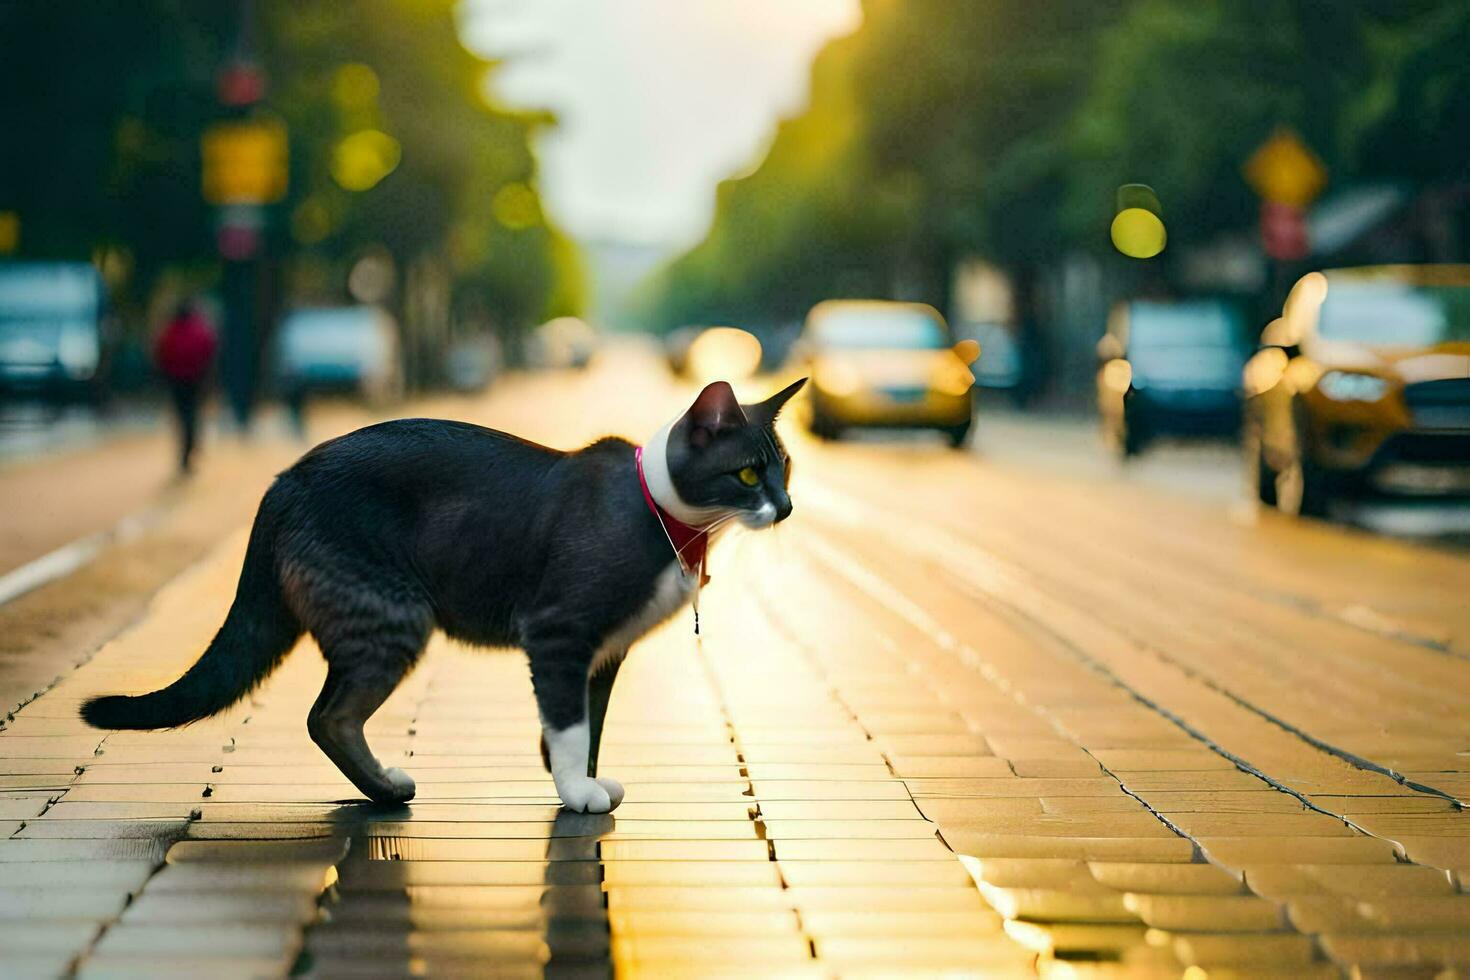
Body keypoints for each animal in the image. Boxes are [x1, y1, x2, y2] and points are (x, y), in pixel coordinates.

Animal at [80, 379, 805, 816]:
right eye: (748, 474)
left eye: (786, 466)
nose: (788, 507)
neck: (669, 519)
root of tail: (282, 482)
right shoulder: (560, 632)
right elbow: (571, 722)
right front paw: (575, 788)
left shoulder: (605, 653)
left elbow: (588, 721)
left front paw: (572, 773)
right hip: (393, 613)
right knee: (328, 717)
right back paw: (385, 786)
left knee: (326, 714)